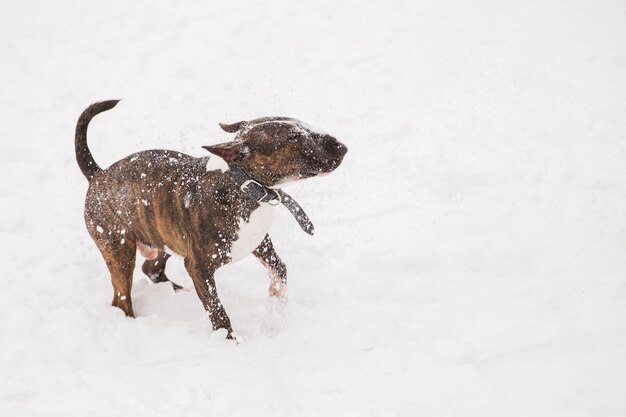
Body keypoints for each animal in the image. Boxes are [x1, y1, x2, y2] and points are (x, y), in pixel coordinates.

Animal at [75, 101, 346, 338]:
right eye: (292, 137)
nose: (342, 146)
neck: (243, 185)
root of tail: (98, 175)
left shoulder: (258, 241)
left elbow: (279, 269)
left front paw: (275, 310)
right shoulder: (199, 267)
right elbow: (217, 310)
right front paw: (229, 341)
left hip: (165, 237)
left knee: (151, 269)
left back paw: (177, 292)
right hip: (119, 248)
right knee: (121, 300)